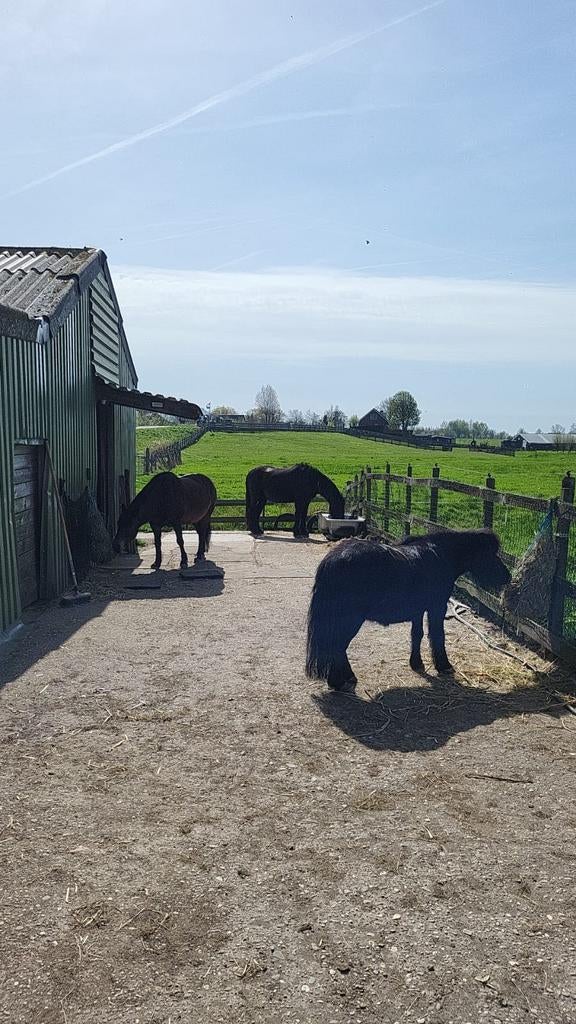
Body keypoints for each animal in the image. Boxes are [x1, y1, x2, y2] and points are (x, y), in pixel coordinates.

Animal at [306, 529, 511, 690]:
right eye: (490, 554)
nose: (507, 577)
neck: (441, 556)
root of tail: (332, 560)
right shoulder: (437, 607)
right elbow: (437, 636)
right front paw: (444, 665)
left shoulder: (418, 610)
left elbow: (417, 634)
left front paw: (416, 663)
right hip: (350, 619)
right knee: (337, 646)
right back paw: (339, 682)